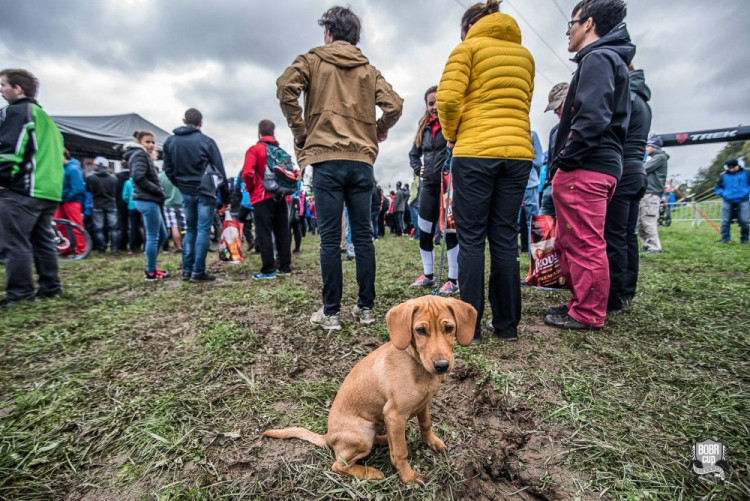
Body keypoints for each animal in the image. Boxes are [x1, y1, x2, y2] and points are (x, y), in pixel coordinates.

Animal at [262, 294, 476, 482]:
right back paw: (370, 472)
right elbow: (401, 452)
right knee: (339, 465)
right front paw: (408, 477)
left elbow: (426, 424)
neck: (415, 362)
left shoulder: (424, 405)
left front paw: (431, 442)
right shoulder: (394, 414)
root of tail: (328, 437)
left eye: (449, 328)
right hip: (362, 434)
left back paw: (384, 440)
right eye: (420, 331)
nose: (442, 365)